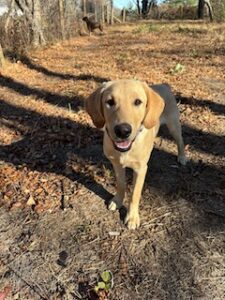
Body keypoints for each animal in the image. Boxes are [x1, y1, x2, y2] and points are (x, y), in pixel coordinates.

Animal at [85, 79, 187, 230]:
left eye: (138, 102)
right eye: (110, 102)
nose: (123, 131)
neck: (128, 149)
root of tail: (163, 85)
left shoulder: (140, 170)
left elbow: (135, 194)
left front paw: (132, 217)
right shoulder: (117, 165)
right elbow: (121, 185)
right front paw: (118, 201)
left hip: (174, 125)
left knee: (180, 141)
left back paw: (182, 157)